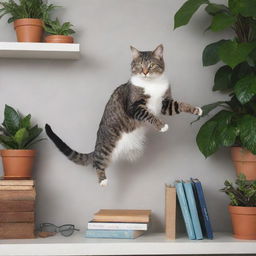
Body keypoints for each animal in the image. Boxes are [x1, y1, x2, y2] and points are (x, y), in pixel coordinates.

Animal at [45, 44, 202, 186]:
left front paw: (196, 109)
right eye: (139, 65)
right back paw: (102, 180)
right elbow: (149, 115)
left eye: (151, 65)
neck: (152, 84)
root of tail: (97, 145)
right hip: (107, 146)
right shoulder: (134, 107)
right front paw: (161, 125)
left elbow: (180, 105)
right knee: (97, 162)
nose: (145, 72)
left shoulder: (165, 104)